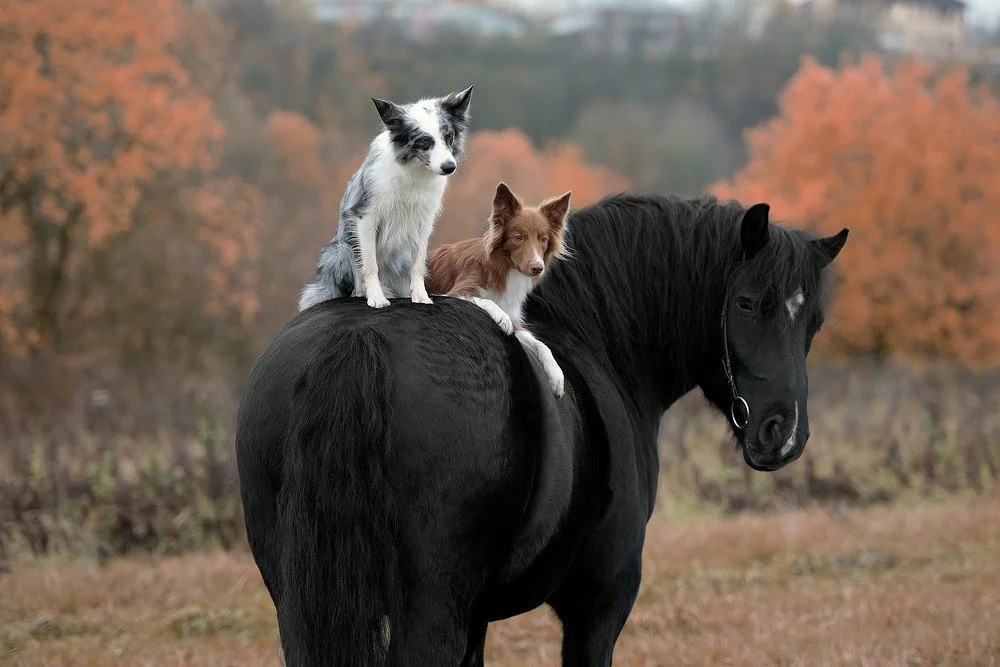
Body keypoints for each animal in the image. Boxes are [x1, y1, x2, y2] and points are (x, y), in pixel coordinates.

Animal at [236, 193, 852, 664]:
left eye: (814, 320)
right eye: (746, 304)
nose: (781, 432)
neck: (598, 341)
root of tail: (357, 340)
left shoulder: (477, 620)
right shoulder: (598, 607)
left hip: (299, 604)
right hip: (429, 613)